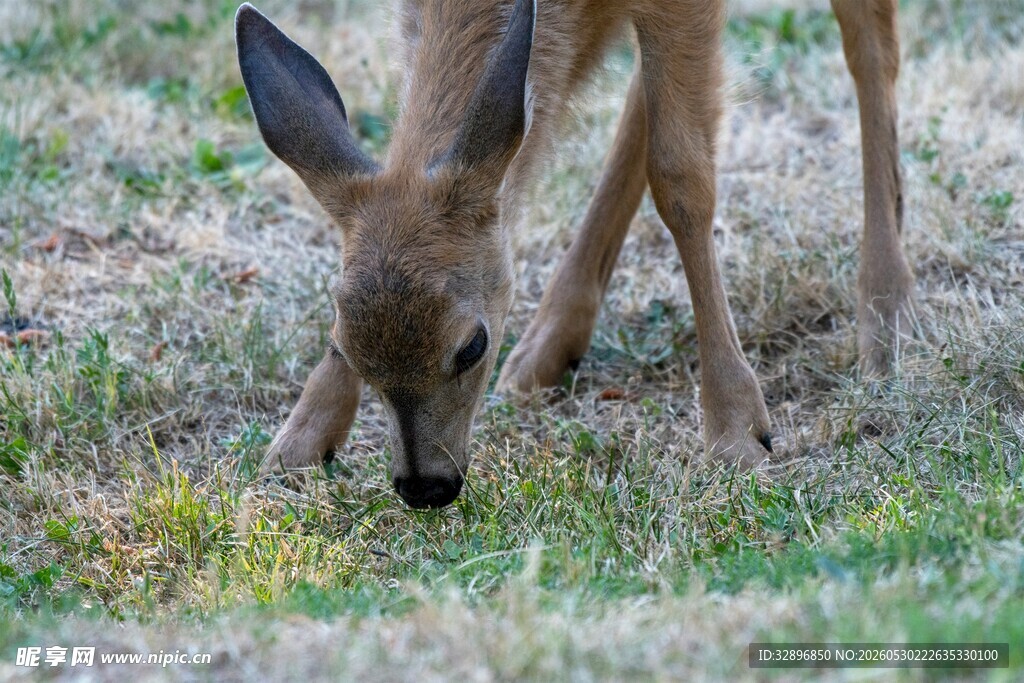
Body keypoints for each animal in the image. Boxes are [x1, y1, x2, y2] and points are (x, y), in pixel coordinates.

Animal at [235, 0, 913, 508]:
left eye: (472, 346)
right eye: (345, 345)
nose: (425, 486)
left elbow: (681, 178)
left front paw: (737, 432)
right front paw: (298, 440)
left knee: (871, 44)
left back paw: (885, 317)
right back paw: (547, 344)